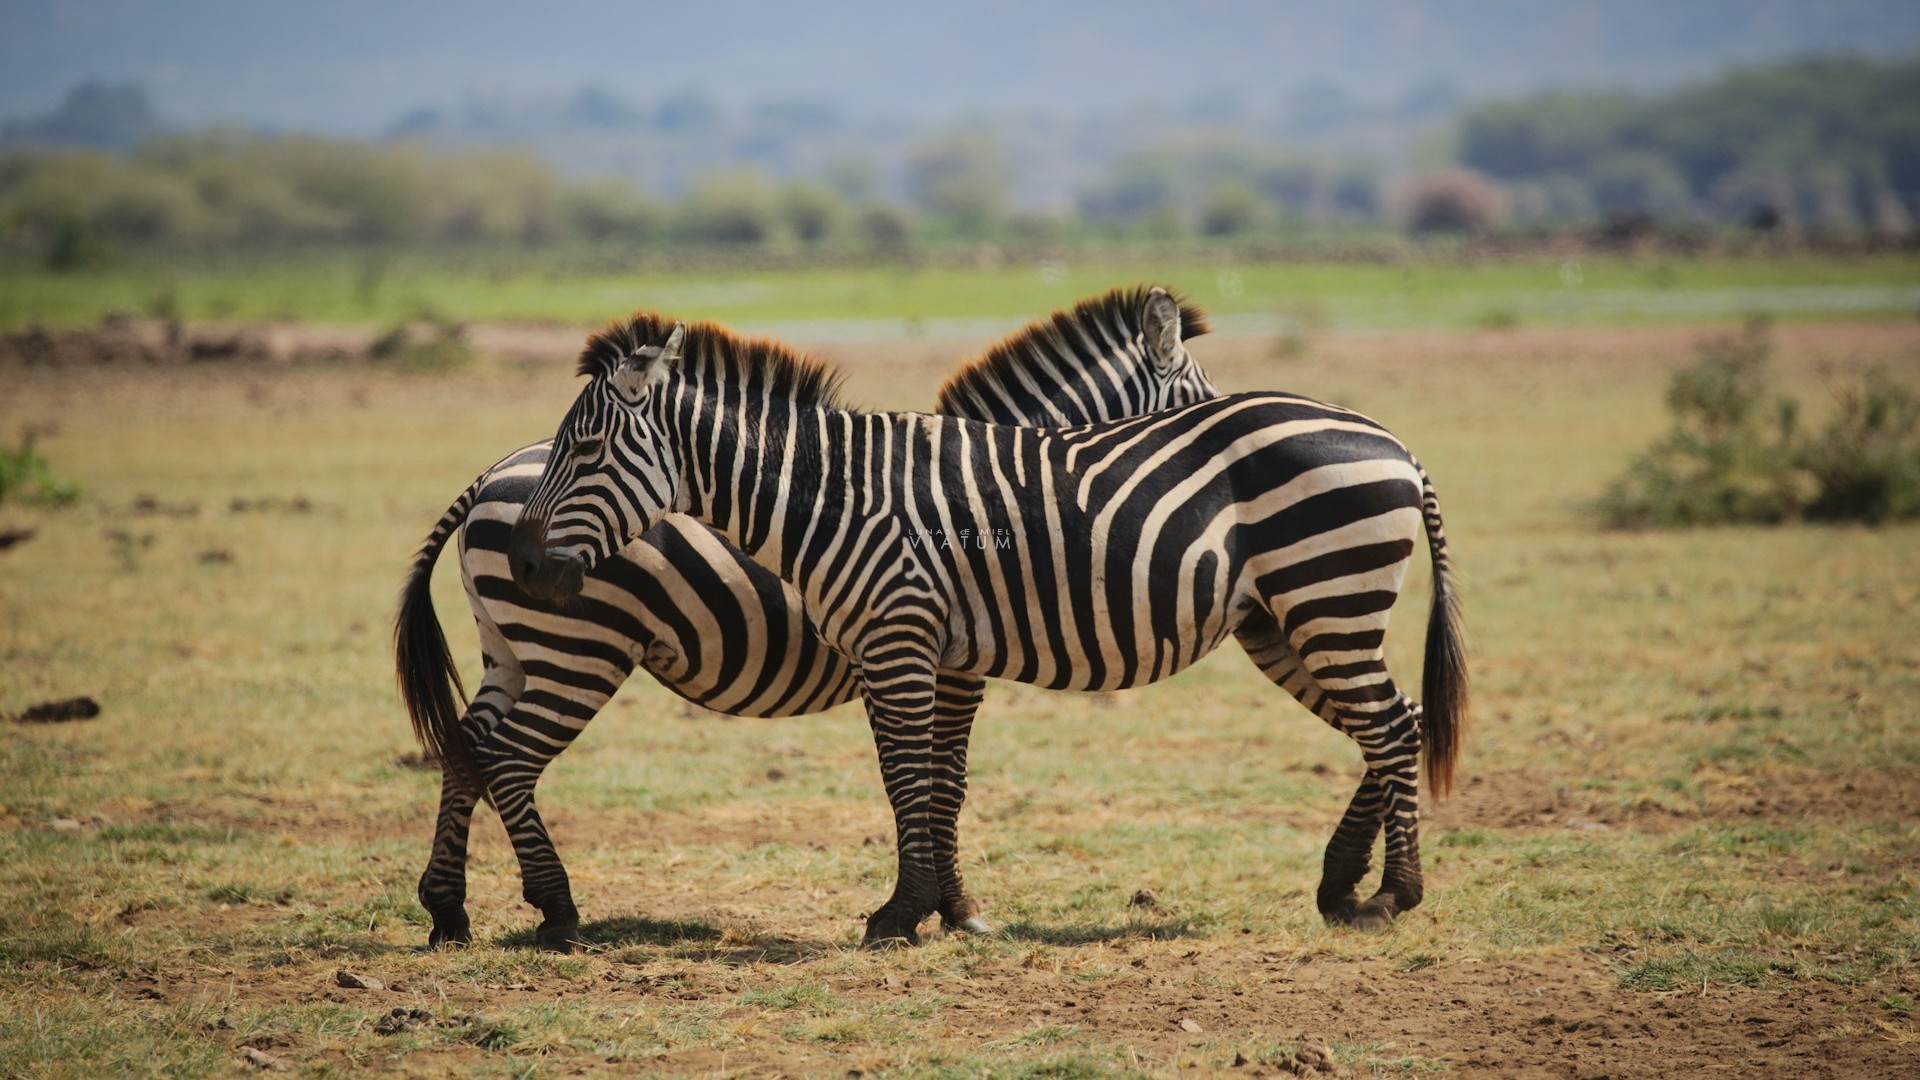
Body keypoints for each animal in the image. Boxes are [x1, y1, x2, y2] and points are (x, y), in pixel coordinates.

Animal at [397, 282, 1213, 945]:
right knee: (508, 758)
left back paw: (448, 911)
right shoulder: (947, 662)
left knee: (468, 746)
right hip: (579, 650)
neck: (990, 488)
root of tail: (486, 477)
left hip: (511, 646)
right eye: (1201, 409)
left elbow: (937, 778)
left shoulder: (936, 655)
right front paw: (947, 910)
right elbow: (940, 781)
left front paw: (946, 910)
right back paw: (558, 910)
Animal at [506, 309, 1466, 941]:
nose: (527, 567)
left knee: (1391, 727)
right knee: (1395, 725)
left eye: (585, 452)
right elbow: (935, 780)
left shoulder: (904, 639)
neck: (831, 494)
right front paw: (944, 908)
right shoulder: (931, 651)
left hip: (1323, 597)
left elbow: (915, 780)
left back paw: (1391, 895)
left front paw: (905, 914)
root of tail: (1395, 442)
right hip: (1293, 616)